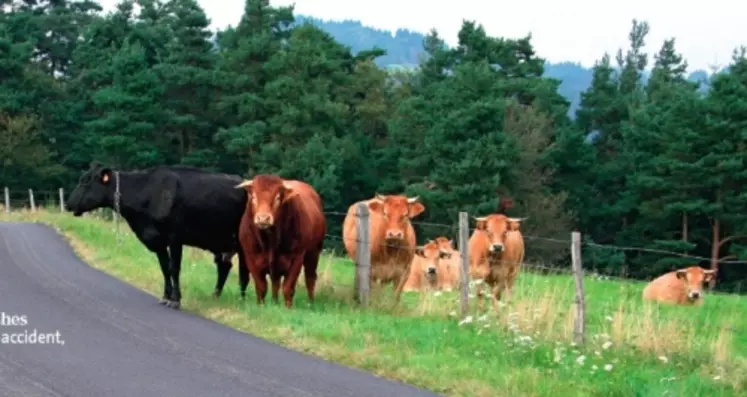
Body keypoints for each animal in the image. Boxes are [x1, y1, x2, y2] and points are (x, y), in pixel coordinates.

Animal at [66, 162, 251, 310]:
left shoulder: (174, 238)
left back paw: (242, 301)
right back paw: (215, 296)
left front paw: (175, 300)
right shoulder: (157, 240)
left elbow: (174, 268)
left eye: (86, 181)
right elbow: (164, 268)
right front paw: (165, 297)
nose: (68, 204)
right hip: (220, 244)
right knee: (224, 267)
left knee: (244, 273)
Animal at [235, 175, 326, 308]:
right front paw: (260, 305)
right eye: (254, 196)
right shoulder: (250, 257)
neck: (270, 240)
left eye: (277, 198)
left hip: (313, 252)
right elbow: (261, 286)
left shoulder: (297, 258)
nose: (263, 218)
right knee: (276, 282)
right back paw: (275, 302)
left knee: (310, 278)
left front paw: (288, 307)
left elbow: (288, 287)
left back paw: (311, 303)